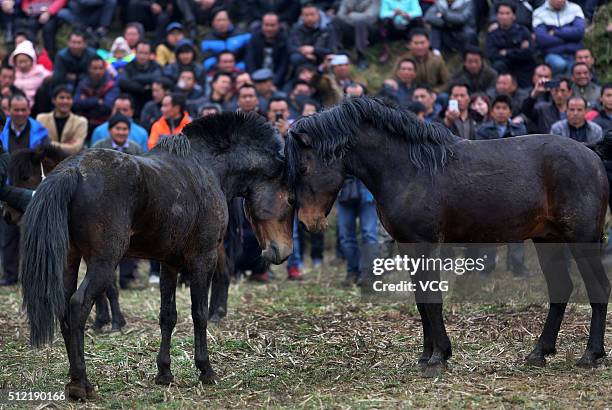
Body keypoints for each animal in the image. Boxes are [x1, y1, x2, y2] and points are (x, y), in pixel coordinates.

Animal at [20, 110, 292, 398]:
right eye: (290, 200)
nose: (282, 252)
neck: (207, 167)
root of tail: (73, 170)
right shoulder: (203, 258)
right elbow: (199, 313)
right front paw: (205, 369)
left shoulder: (168, 263)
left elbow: (167, 315)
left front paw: (164, 372)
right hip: (104, 262)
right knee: (78, 306)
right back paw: (81, 382)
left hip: (70, 260)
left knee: (64, 308)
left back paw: (74, 379)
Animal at [286, 96, 612, 374]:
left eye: (302, 168)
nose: (306, 223)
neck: (409, 168)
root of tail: (590, 152)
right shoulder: (408, 247)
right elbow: (421, 301)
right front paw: (425, 355)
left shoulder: (425, 244)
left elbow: (432, 299)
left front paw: (439, 356)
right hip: (548, 240)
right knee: (561, 289)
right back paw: (539, 352)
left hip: (582, 239)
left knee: (598, 288)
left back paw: (590, 355)